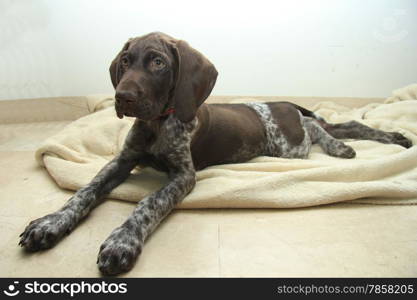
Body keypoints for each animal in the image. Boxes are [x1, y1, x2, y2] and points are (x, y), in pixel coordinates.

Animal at [17, 32, 412, 274]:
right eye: (126, 61)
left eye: (158, 62)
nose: (122, 97)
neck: (158, 123)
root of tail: (283, 103)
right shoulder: (122, 161)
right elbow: (85, 192)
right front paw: (51, 223)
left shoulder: (183, 176)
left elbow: (148, 204)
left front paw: (122, 241)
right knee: (340, 123)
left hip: (289, 145)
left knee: (323, 127)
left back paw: (348, 146)